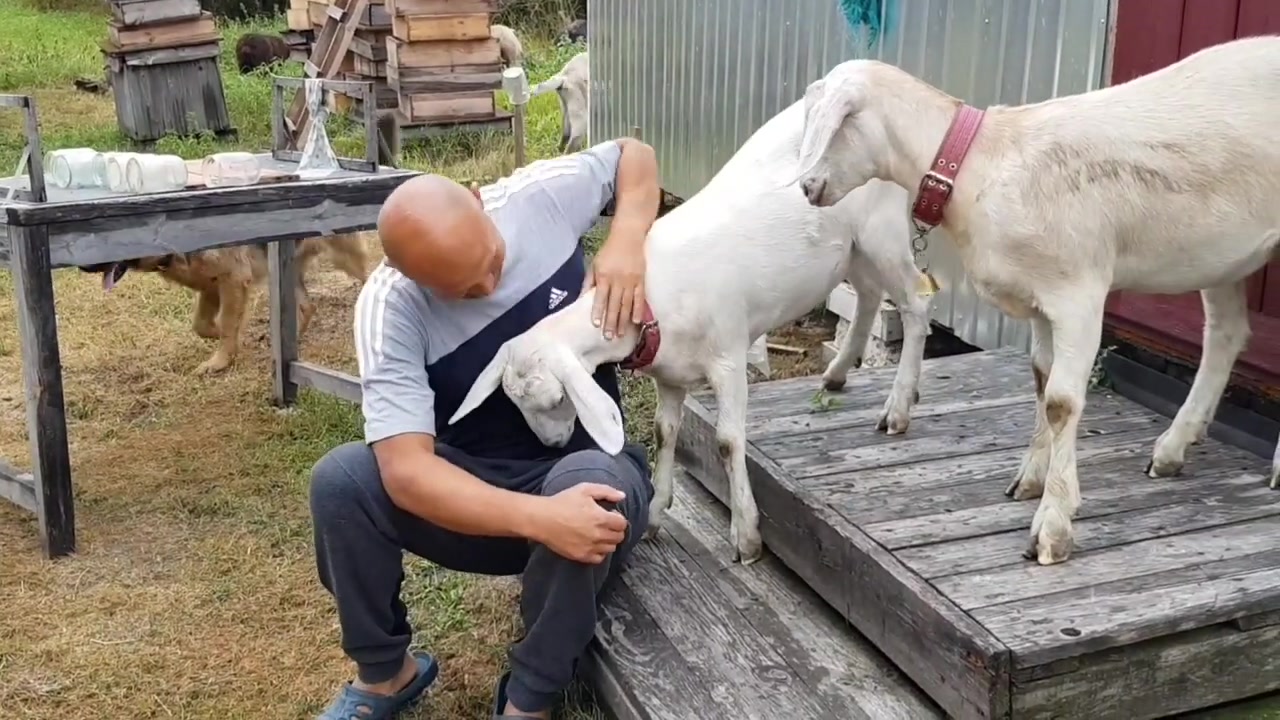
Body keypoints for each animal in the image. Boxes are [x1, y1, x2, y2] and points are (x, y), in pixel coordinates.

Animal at [450, 98, 931, 563]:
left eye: (556, 400)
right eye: (514, 401)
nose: (553, 443)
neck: (651, 297)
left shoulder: (729, 357)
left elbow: (727, 441)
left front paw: (746, 536)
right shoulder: (669, 375)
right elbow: (665, 432)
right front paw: (656, 514)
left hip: (882, 228)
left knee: (915, 302)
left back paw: (898, 407)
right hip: (853, 247)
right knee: (868, 295)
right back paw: (837, 371)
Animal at [793, 35, 1280, 566]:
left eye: (830, 126)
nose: (807, 188)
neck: (977, 165)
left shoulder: (1077, 293)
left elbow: (1063, 402)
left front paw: (1053, 525)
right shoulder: (1040, 298)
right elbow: (1042, 383)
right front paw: (1030, 478)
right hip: (1222, 250)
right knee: (1226, 334)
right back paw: (1172, 449)